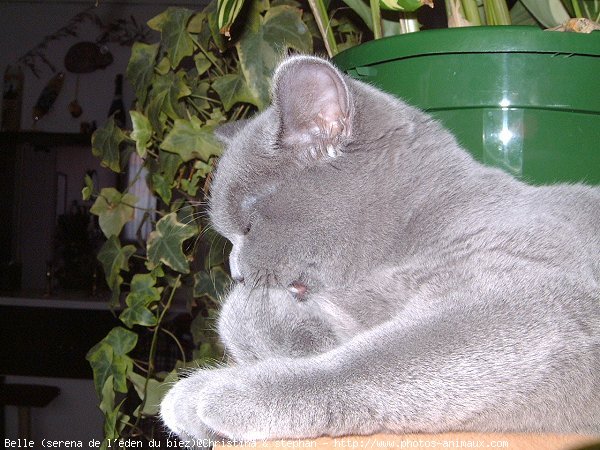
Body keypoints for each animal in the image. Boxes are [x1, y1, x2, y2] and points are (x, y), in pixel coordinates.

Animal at [159, 54, 600, 442]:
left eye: (248, 227)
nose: (235, 272)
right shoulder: (375, 292)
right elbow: (250, 319)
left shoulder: (533, 292)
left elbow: (372, 361)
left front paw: (225, 390)